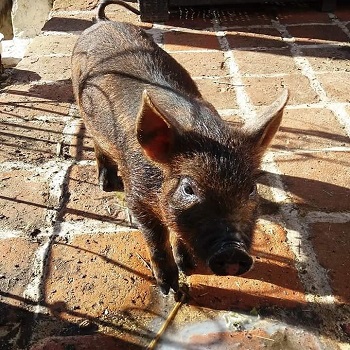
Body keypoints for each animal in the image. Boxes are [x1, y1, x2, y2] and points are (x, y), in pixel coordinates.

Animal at [70, 0, 288, 294]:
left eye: (251, 188)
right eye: (188, 188)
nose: (233, 252)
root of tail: (102, 22)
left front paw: (188, 267)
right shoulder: (138, 197)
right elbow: (156, 241)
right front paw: (172, 290)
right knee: (97, 144)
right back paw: (106, 184)